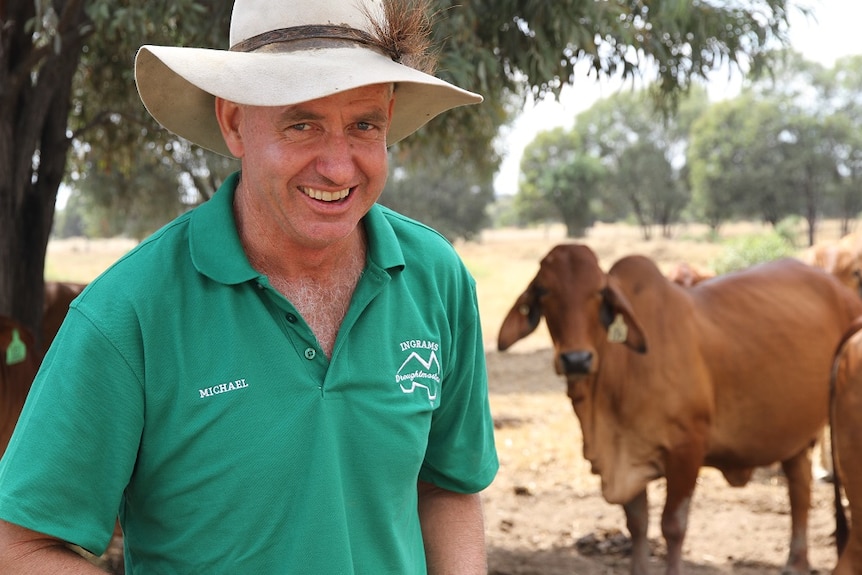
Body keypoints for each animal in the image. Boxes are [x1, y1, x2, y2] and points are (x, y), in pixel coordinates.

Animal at [496, 243, 862, 575]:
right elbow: (637, 524)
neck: (622, 370)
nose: (576, 359)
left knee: (801, 492)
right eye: (543, 291)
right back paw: (796, 561)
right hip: (792, 435)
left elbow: (672, 525)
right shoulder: (628, 456)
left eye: (599, 292)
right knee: (799, 488)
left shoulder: (687, 451)